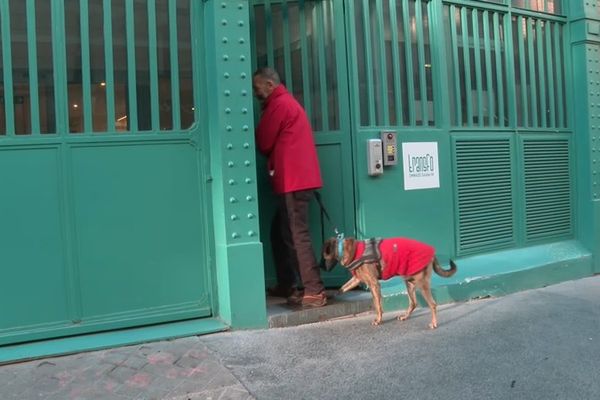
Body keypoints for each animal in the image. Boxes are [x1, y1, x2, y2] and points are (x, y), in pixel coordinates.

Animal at [322, 238, 458, 328]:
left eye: (323, 256)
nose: (321, 268)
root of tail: (432, 253)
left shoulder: (374, 284)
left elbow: (377, 305)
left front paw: (378, 320)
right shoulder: (357, 280)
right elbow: (341, 288)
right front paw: (329, 295)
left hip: (421, 284)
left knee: (432, 304)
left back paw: (434, 323)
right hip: (410, 282)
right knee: (413, 303)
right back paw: (405, 316)